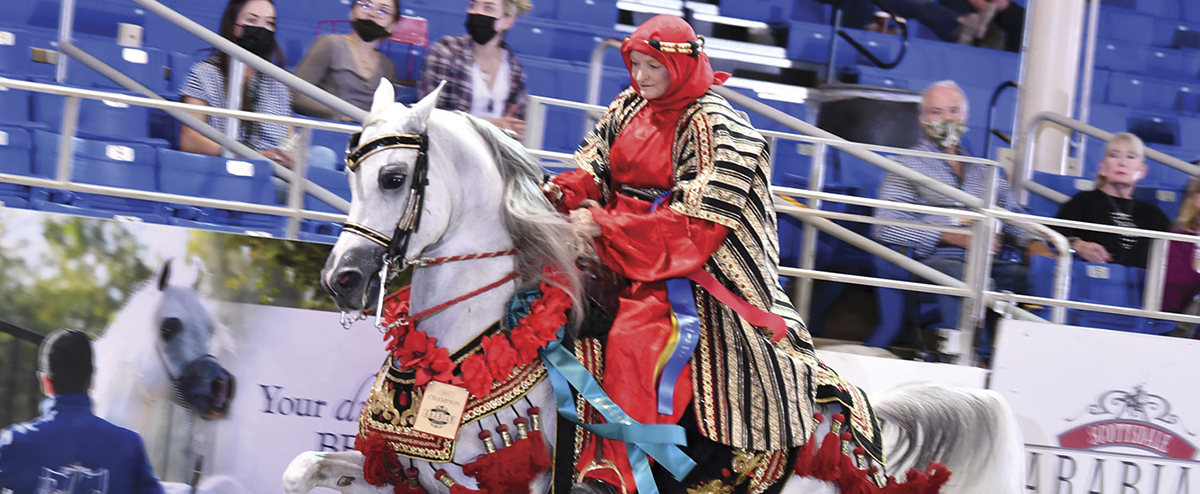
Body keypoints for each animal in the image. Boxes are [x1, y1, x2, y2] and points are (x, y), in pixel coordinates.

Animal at [283, 80, 1022, 493]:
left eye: (393, 178)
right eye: (349, 168)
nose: (342, 277)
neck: (474, 349)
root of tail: (853, 413)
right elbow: (300, 471)